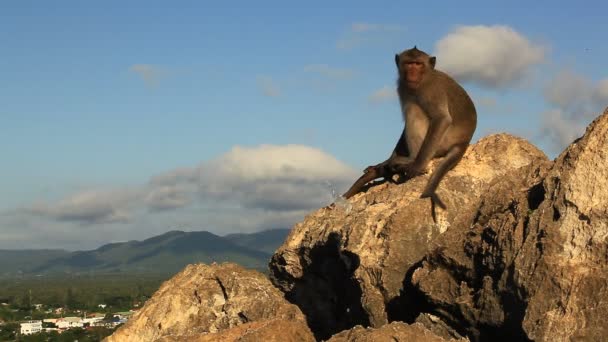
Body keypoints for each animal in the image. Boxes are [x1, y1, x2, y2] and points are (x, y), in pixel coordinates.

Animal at [340, 46, 478, 215]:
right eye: (408, 64)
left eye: (418, 64)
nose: (412, 73)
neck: (423, 78)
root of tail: (464, 141)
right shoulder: (402, 87)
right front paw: (384, 162)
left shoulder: (431, 90)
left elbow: (441, 118)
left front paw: (417, 166)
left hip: (442, 142)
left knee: (414, 110)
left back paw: (411, 159)